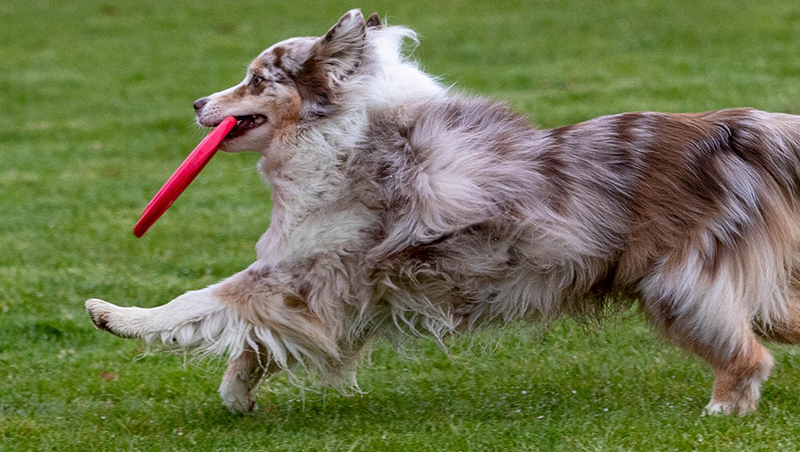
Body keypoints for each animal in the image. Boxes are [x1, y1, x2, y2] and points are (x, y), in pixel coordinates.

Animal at [83, 7, 800, 416]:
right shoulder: (322, 292)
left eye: (258, 80)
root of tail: (736, 130)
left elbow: (198, 301)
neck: (343, 134)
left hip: (679, 288)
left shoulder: (303, 271)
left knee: (749, 357)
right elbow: (254, 345)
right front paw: (237, 398)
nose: (197, 102)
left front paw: (113, 314)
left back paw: (720, 413)